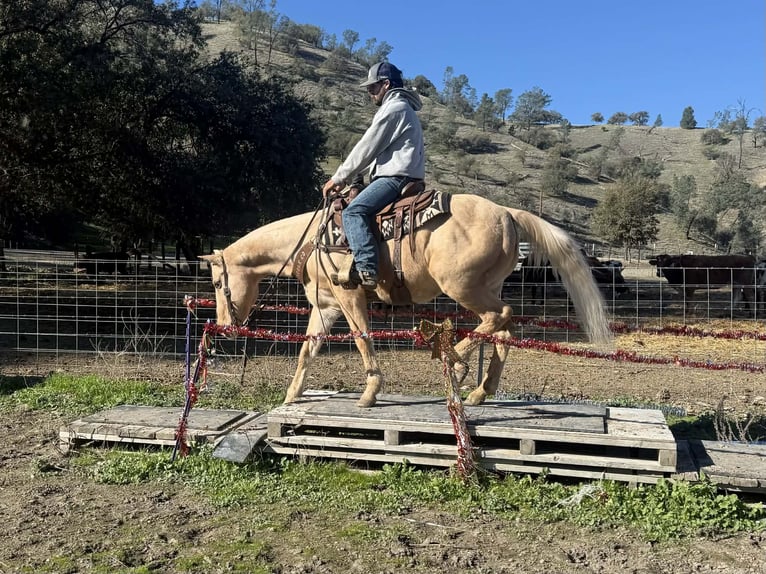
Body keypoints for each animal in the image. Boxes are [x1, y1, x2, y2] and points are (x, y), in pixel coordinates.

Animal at [200, 193, 613, 408]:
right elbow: (308, 349)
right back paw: (480, 390)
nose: (225, 325)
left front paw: (369, 393)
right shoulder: (325, 306)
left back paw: (457, 362)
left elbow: (362, 339)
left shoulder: (350, 296)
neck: (311, 242)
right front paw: (291, 396)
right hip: (485, 287)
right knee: (504, 330)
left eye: (218, 281)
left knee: (501, 317)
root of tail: (507, 213)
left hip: (462, 287)